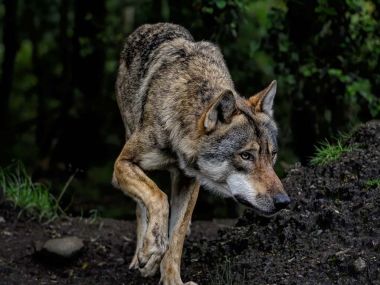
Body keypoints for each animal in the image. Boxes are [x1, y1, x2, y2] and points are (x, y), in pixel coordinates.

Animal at [111, 22, 290, 284]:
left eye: (272, 154)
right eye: (246, 156)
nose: (284, 202)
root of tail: (150, 26)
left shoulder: (189, 180)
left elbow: (176, 237)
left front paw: (172, 279)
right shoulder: (122, 164)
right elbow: (158, 197)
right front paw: (151, 248)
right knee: (141, 206)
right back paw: (140, 256)